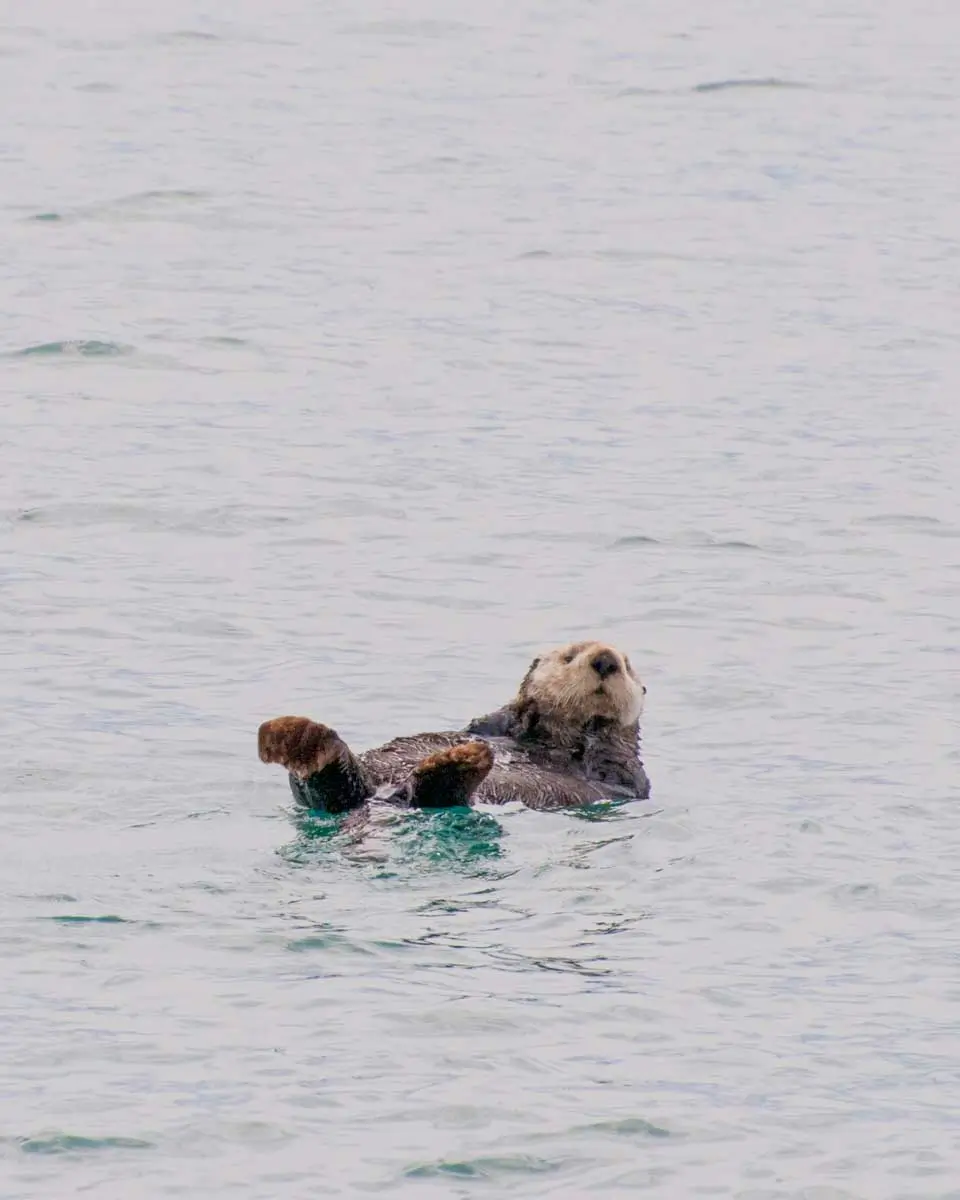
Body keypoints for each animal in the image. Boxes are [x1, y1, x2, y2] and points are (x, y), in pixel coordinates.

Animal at [258, 640, 650, 813]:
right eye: (569, 657)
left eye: (627, 665)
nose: (605, 660)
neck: (552, 741)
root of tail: (384, 797)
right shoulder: (499, 723)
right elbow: (490, 723)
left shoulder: (623, 774)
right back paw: (300, 739)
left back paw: (457, 763)